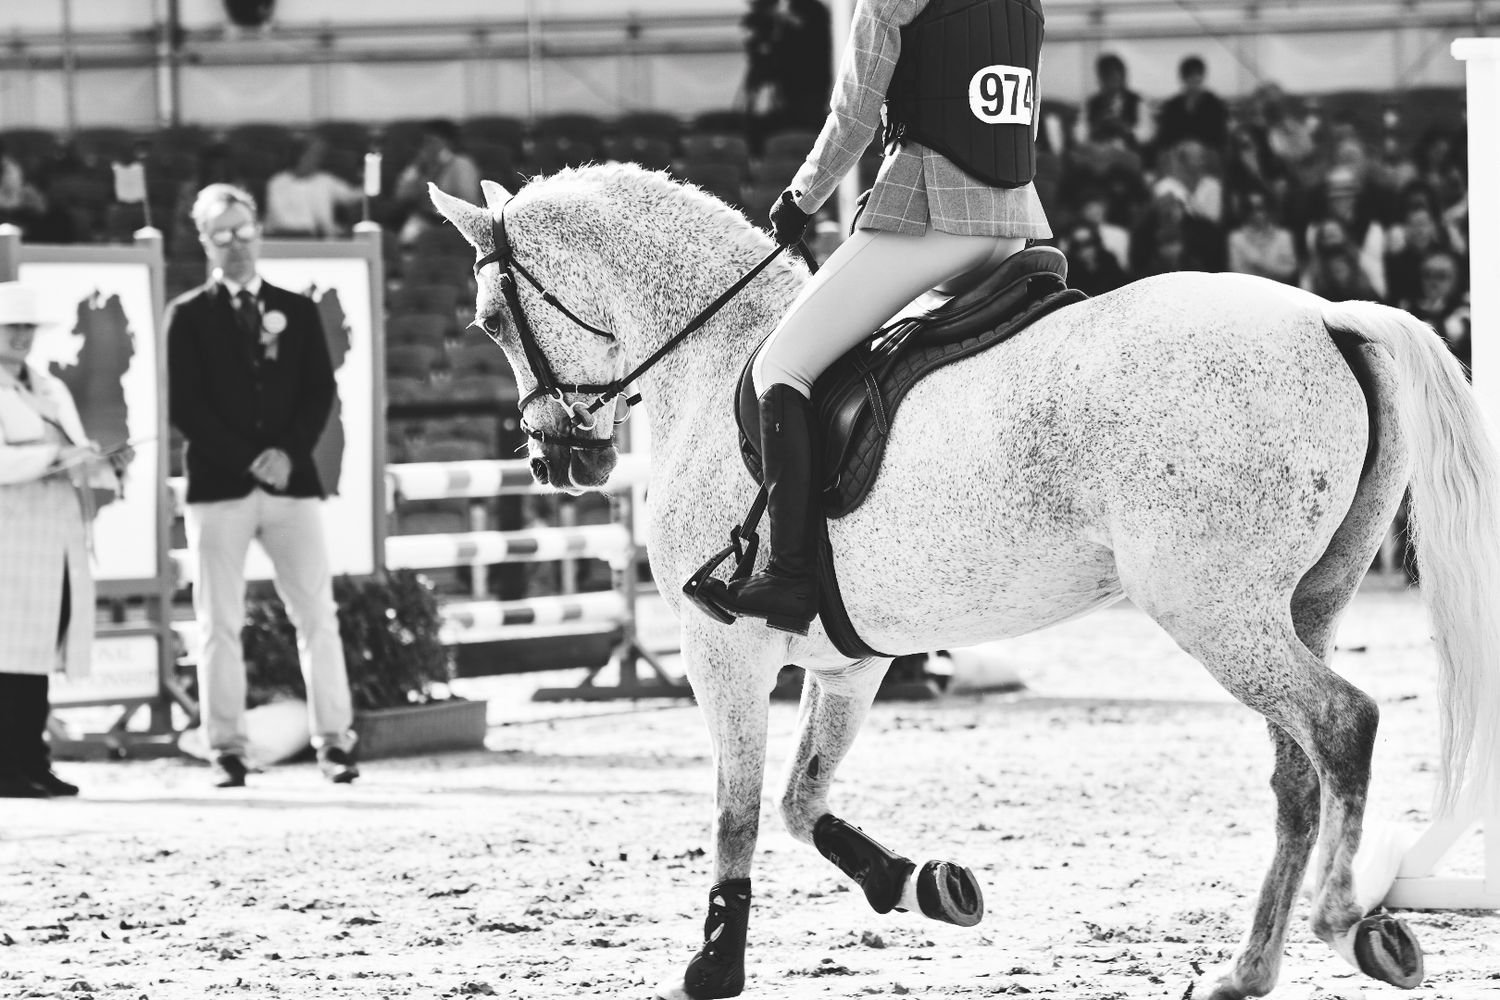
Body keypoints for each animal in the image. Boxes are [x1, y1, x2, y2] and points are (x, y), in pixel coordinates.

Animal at [428, 162, 1500, 1000]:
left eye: (490, 319)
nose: (555, 460)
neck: (714, 355)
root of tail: (1326, 314)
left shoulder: (720, 647)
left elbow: (739, 807)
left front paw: (716, 961)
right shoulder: (850, 660)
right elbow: (802, 800)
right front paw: (921, 884)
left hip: (1214, 612)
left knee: (1342, 725)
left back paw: (1350, 923)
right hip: (1301, 606)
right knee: (1296, 773)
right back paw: (1247, 968)